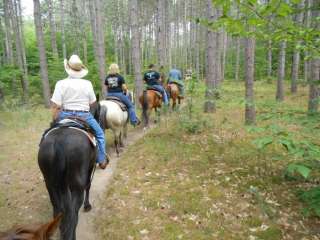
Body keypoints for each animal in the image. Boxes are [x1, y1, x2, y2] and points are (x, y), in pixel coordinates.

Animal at [38, 101, 101, 240]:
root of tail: (58, 143)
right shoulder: (90, 168)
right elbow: (88, 185)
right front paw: (87, 206)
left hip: (50, 184)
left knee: (58, 210)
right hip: (76, 186)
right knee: (72, 214)